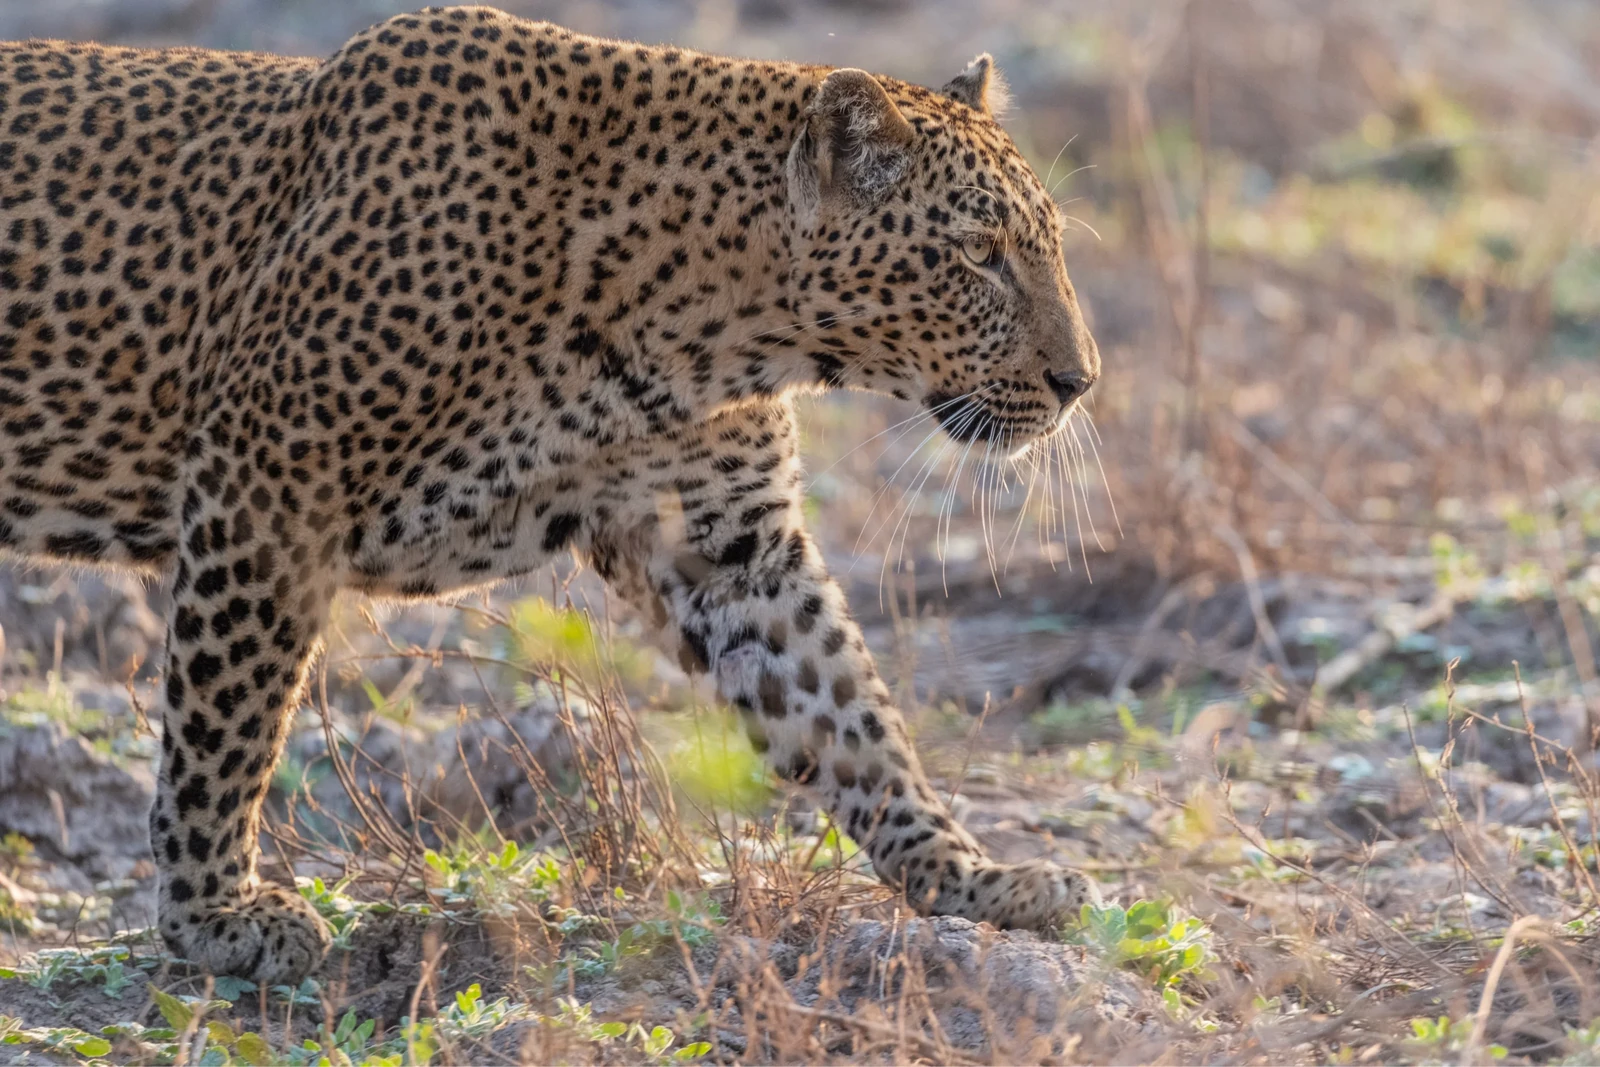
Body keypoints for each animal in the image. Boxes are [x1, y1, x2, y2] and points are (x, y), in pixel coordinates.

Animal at [0, 5, 1103, 984]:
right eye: (978, 255)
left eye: (1045, 244)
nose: (1079, 380)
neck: (707, 322)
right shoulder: (269, 479)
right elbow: (227, 721)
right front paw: (214, 914)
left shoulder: (733, 548)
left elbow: (851, 719)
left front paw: (974, 878)